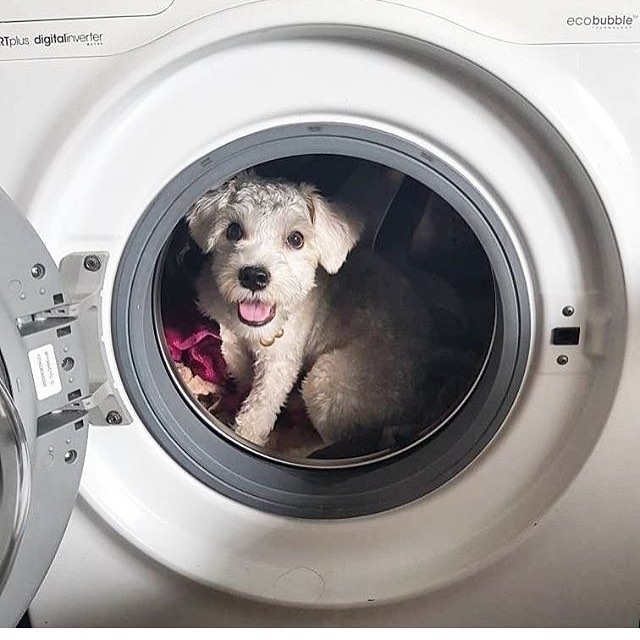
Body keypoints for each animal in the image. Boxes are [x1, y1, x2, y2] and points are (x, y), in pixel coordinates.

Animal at [188, 171, 432, 450]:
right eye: (233, 230)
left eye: (296, 239)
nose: (253, 276)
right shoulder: (230, 336)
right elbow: (238, 365)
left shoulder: (281, 360)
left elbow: (259, 409)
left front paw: (247, 433)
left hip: (326, 381)